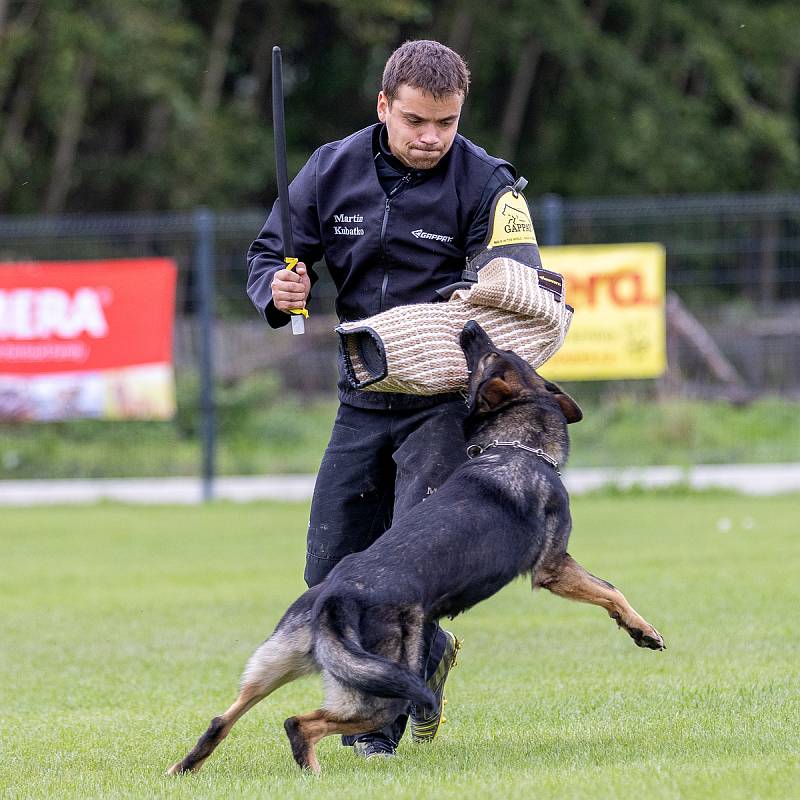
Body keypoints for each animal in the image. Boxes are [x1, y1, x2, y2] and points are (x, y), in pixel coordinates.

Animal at [167, 322, 664, 780]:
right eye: (492, 353)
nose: (470, 324)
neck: (518, 446)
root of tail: (334, 598)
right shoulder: (554, 568)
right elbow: (611, 590)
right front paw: (643, 631)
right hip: (386, 689)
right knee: (299, 722)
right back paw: (312, 772)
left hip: (274, 668)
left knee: (223, 719)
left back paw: (184, 767)